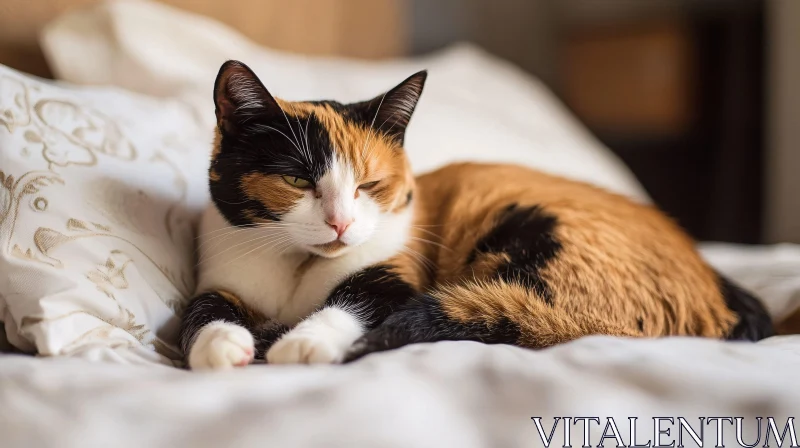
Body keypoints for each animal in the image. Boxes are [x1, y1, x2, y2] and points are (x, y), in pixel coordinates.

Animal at [178, 61, 772, 370]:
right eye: (298, 180)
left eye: (371, 186)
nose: (341, 224)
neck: (298, 267)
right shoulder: (221, 273)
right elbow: (200, 310)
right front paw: (219, 345)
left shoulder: (397, 276)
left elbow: (355, 300)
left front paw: (306, 342)